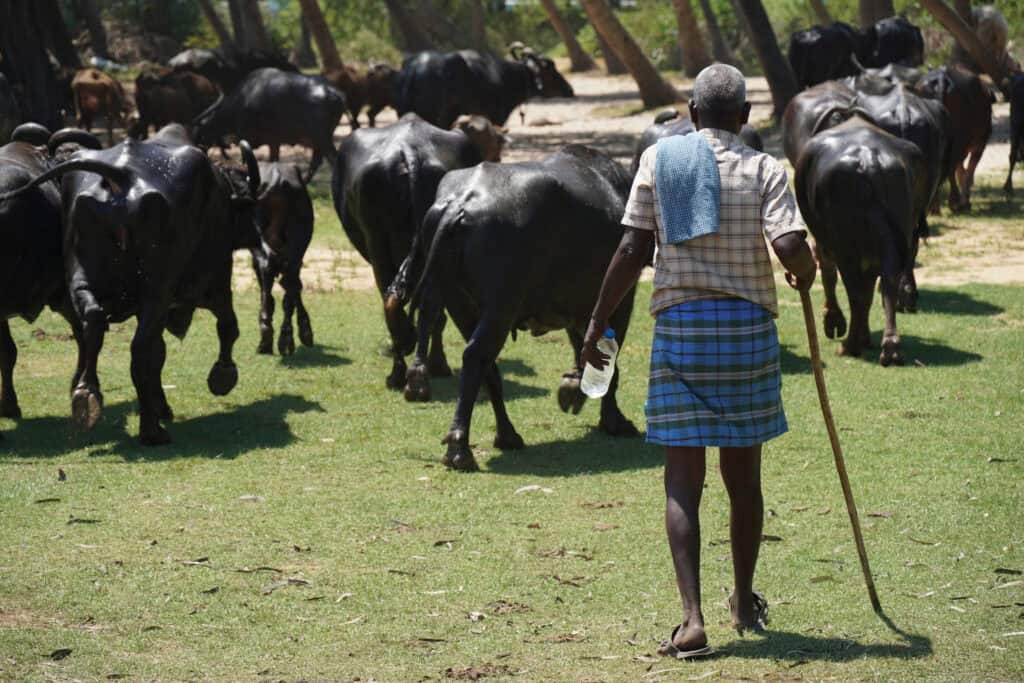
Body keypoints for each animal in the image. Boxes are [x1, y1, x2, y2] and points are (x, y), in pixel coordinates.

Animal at [0, 124, 262, 444]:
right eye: (246, 209)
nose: (258, 236)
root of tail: (120, 175)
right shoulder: (214, 282)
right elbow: (228, 327)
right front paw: (222, 375)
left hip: (81, 281)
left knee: (93, 324)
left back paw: (86, 395)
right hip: (157, 290)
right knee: (138, 351)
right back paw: (150, 430)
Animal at [193, 68, 346, 181]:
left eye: (199, 135)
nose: (199, 152)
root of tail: (334, 93)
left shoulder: (245, 137)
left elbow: (246, 160)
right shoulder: (274, 142)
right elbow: (273, 161)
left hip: (322, 138)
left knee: (332, 159)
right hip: (317, 142)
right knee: (316, 162)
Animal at [331, 112, 503, 389]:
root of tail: (409, 152)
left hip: (377, 243)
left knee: (395, 298)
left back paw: (402, 369)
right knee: (425, 305)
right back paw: (422, 366)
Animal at [387, 147, 634, 473]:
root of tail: (459, 203)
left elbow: (583, 347)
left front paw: (573, 388)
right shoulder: (620, 300)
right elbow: (609, 361)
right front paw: (613, 419)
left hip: (462, 304)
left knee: (486, 365)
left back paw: (506, 435)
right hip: (500, 307)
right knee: (476, 357)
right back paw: (460, 448)